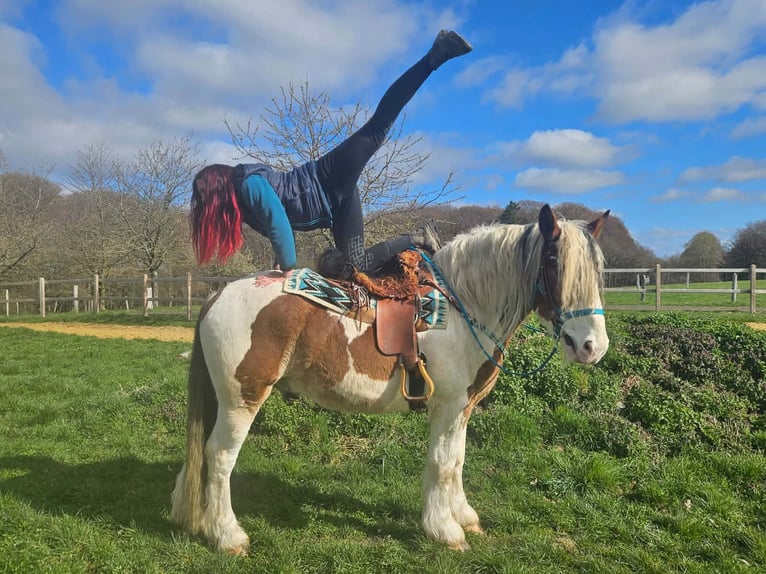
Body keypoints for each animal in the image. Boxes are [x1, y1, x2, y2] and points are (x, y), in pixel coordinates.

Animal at [170, 204, 610, 554]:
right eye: (553, 263)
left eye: (598, 271)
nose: (591, 346)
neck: (464, 307)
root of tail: (219, 296)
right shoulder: (447, 406)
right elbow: (443, 462)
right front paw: (444, 530)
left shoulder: (462, 408)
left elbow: (458, 460)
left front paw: (463, 516)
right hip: (242, 399)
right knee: (220, 456)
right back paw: (228, 535)